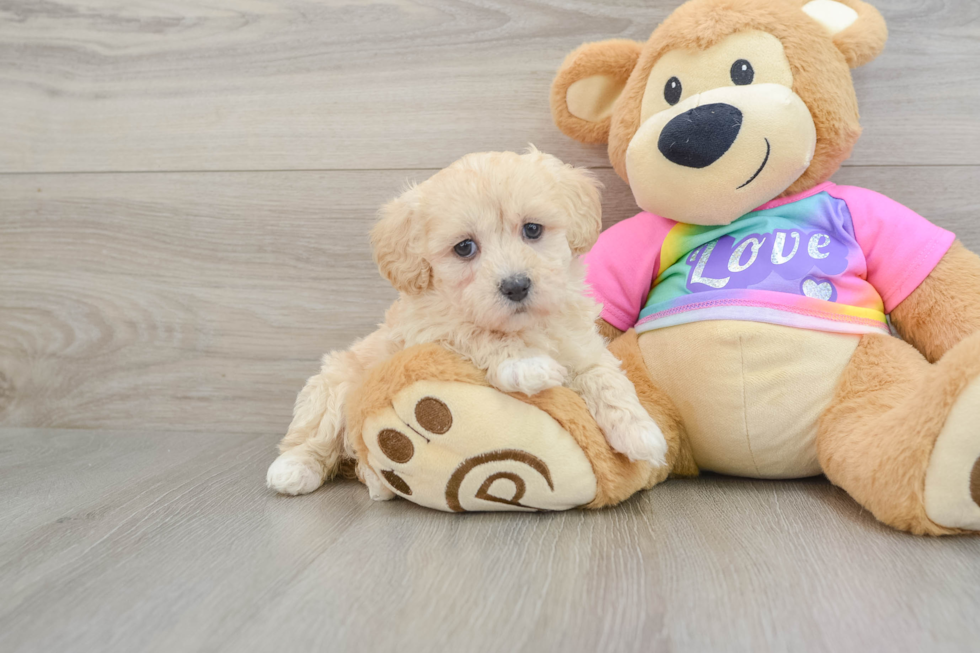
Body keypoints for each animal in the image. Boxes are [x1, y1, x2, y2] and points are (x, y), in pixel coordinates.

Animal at [266, 148, 668, 494]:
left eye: (533, 230)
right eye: (464, 248)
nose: (516, 285)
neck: (525, 326)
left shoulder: (581, 344)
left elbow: (605, 376)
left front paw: (640, 431)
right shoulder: (431, 330)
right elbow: (478, 333)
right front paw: (525, 364)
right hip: (334, 385)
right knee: (316, 434)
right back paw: (294, 470)